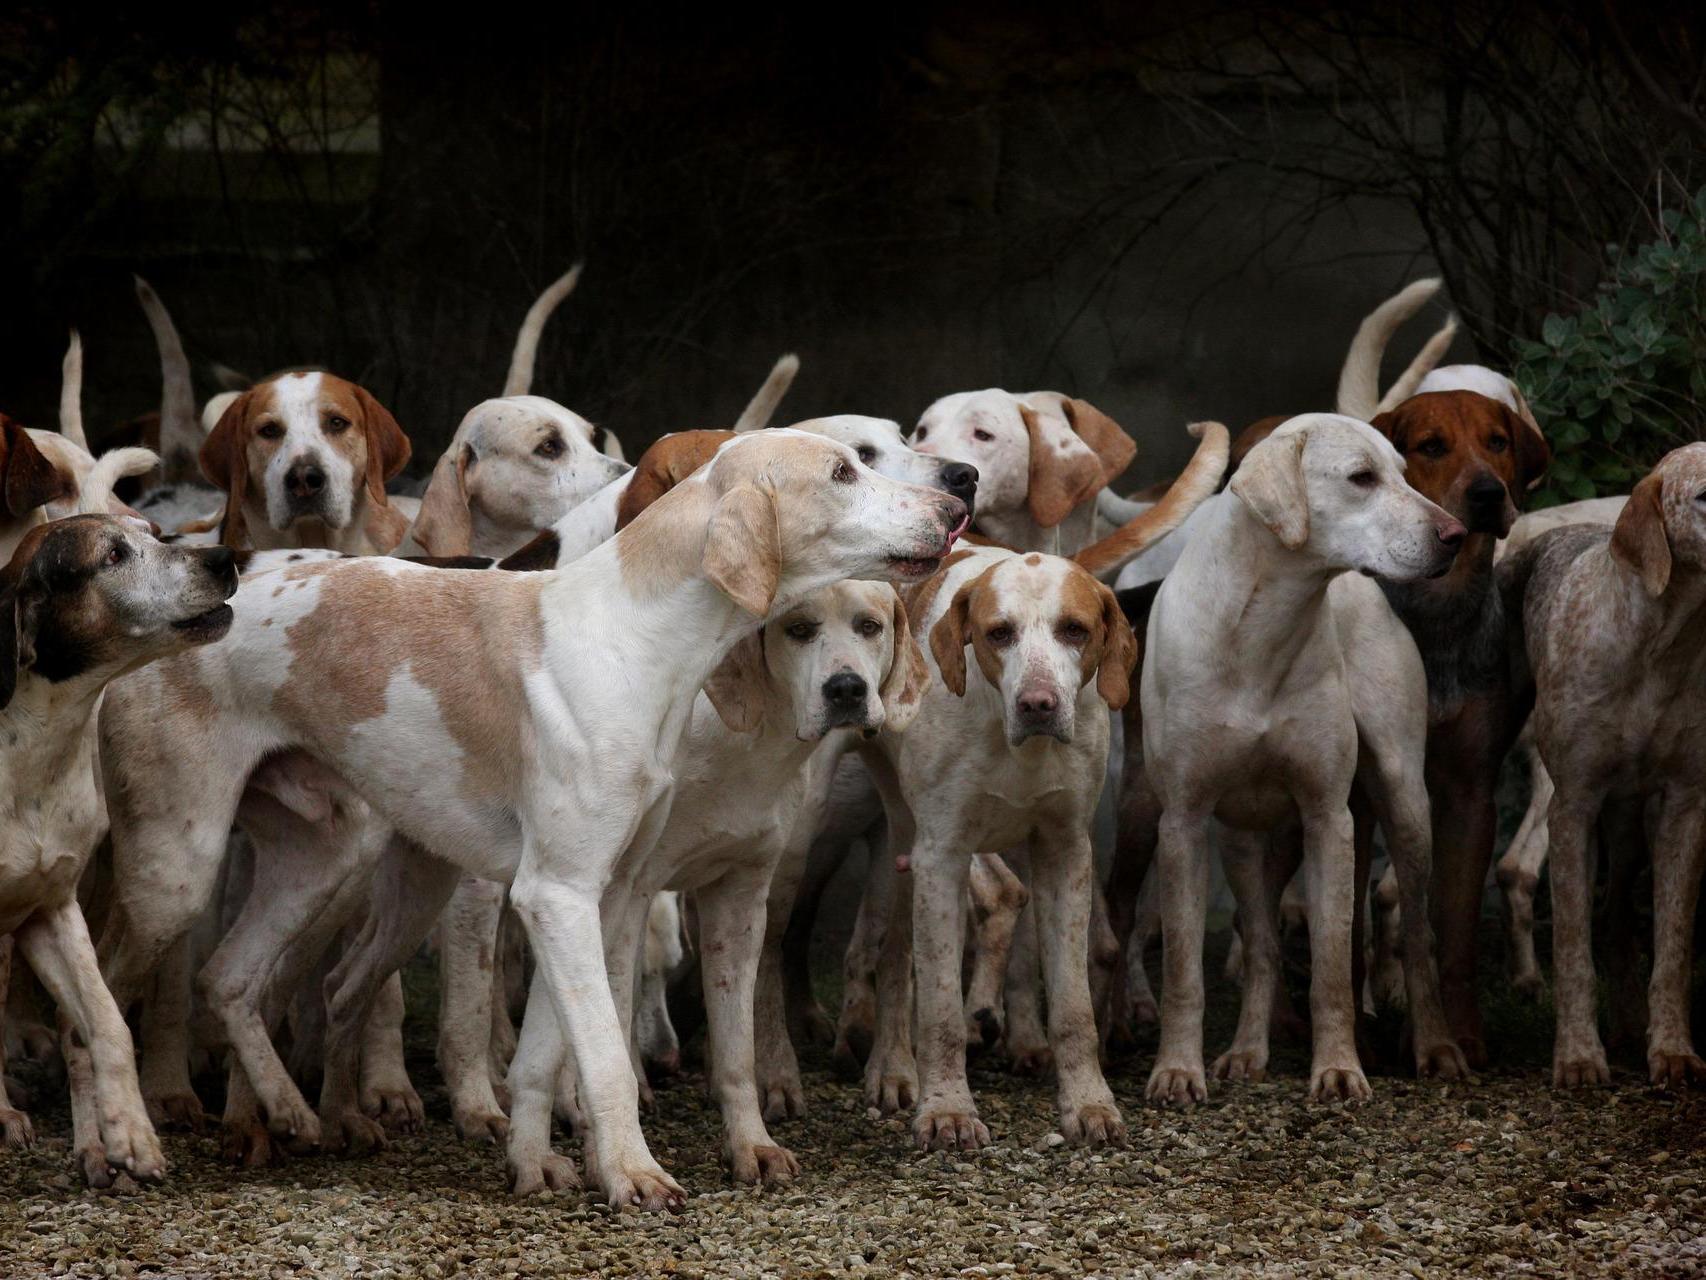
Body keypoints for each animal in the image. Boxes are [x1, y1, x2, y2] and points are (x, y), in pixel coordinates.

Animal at [0, 508, 240, 1181]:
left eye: (155, 533)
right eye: (111, 556)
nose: (225, 558)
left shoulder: (51, 908)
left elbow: (104, 1023)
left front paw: (127, 1130)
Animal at [93, 433, 969, 1215]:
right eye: (843, 470)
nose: (958, 504)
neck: (634, 640)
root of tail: (183, 611)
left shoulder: (597, 897)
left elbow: (547, 1055)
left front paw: (536, 1164)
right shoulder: (560, 894)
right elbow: (606, 1055)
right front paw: (633, 1176)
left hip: (329, 864)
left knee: (233, 979)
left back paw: (294, 1113)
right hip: (178, 870)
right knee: (101, 994)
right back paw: (119, 1143)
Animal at [1508, 443, 1706, 1092]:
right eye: (1705, 495)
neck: (1661, 644)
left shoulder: (1684, 808)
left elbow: (1672, 947)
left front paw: (1670, 1050)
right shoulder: (1571, 806)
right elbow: (1572, 946)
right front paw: (1576, 1056)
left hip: (1631, 825)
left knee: (1618, 915)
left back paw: (1626, 1020)